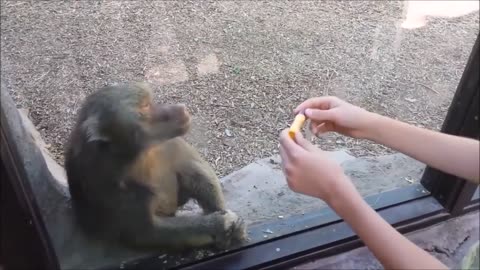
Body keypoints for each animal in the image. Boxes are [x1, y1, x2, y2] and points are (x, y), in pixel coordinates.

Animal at [64, 81, 248, 251]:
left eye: (149, 102)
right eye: (145, 107)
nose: (180, 108)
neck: (140, 153)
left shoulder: (169, 143)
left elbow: (195, 171)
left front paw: (229, 223)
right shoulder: (104, 182)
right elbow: (149, 232)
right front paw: (218, 225)